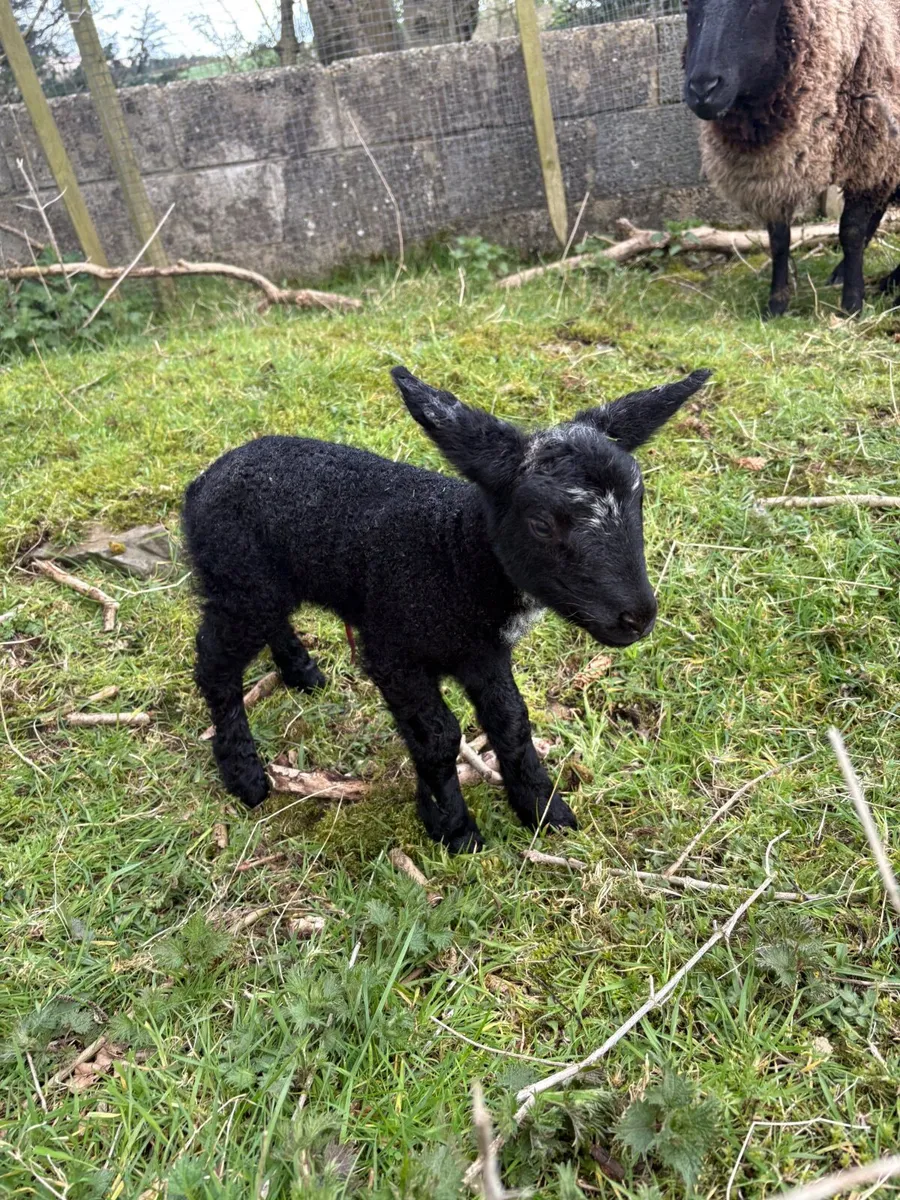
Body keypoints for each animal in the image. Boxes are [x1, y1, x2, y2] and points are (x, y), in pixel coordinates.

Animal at [183, 365, 711, 853]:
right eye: (541, 523)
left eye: (639, 502)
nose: (637, 618)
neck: (453, 555)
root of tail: (202, 482)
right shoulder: (394, 652)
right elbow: (438, 736)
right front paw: (454, 828)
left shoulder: (484, 653)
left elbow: (511, 721)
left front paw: (544, 809)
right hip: (239, 581)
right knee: (214, 663)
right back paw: (244, 773)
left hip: (262, 583)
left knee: (270, 624)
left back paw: (301, 672)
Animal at [682, 0, 900, 316]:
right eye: (687, 5)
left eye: (756, 4)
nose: (702, 89)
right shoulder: (775, 170)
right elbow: (779, 239)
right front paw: (776, 304)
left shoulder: (870, 153)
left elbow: (851, 231)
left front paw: (851, 305)